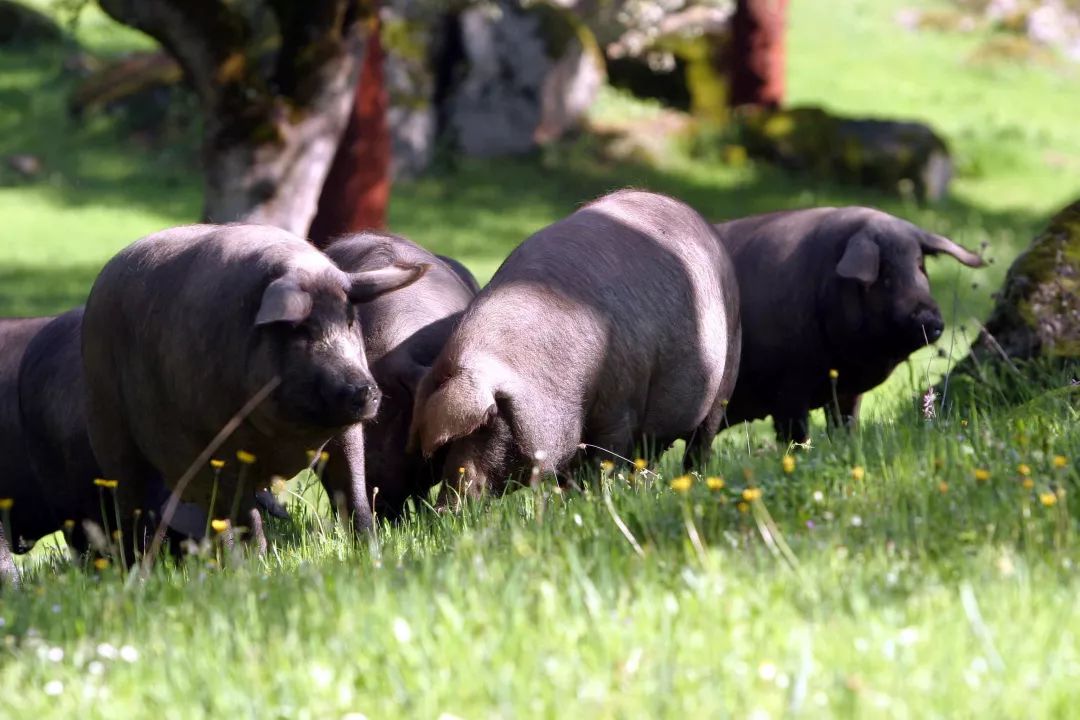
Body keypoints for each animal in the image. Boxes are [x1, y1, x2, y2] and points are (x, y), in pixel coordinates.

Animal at [82, 223, 427, 539]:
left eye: (351, 322)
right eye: (301, 331)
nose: (364, 390)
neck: (287, 438)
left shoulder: (348, 432)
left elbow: (354, 493)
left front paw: (369, 546)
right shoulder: (220, 448)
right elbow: (247, 518)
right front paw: (257, 561)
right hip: (110, 429)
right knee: (133, 509)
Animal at [408, 188, 738, 498]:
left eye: (489, 420)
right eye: (445, 446)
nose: (446, 506)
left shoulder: (621, 408)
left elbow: (606, 461)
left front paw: (598, 497)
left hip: (724, 377)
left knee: (700, 443)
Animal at [712, 205, 984, 442]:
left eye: (921, 268)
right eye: (885, 276)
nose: (930, 318)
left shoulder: (846, 391)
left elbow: (846, 423)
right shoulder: (787, 388)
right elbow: (795, 434)